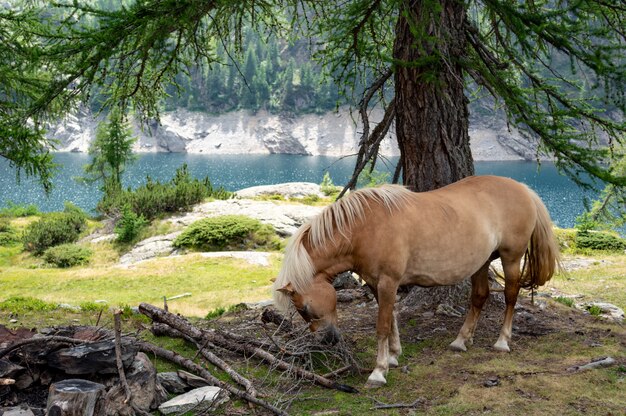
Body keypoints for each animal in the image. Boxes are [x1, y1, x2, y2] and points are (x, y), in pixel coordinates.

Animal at [272, 175, 560, 386]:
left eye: (304, 308)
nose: (327, 341)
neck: (364, 227)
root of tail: (522, 188)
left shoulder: (388, 282)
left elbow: (382, 325)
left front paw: (379, 371)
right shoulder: (377, 284)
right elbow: (391, 319)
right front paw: (393, 356)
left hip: (511, 259)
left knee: (511, 297)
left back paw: (502, 342)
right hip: (482, 262)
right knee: (479, 297)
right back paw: (461, 340)